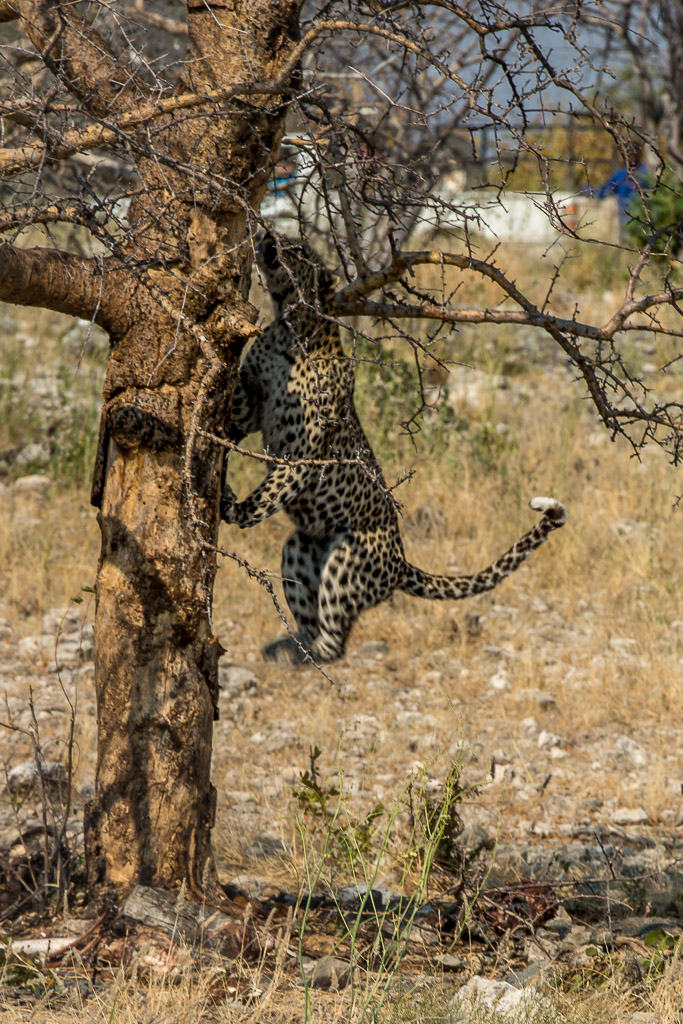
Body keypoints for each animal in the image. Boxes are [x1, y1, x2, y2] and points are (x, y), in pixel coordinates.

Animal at [221, 233, 567, 664]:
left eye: (297, 249)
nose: (267, 235)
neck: (290, 324)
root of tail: (400, 562)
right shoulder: (251, 407)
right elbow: (239, 403)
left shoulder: (303, 449)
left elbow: (266, 495)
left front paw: (231, 507)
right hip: (300, 547)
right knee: (316, 621)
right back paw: (289, 648)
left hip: (346, 559)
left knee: (336, 644)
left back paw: (302, 652)